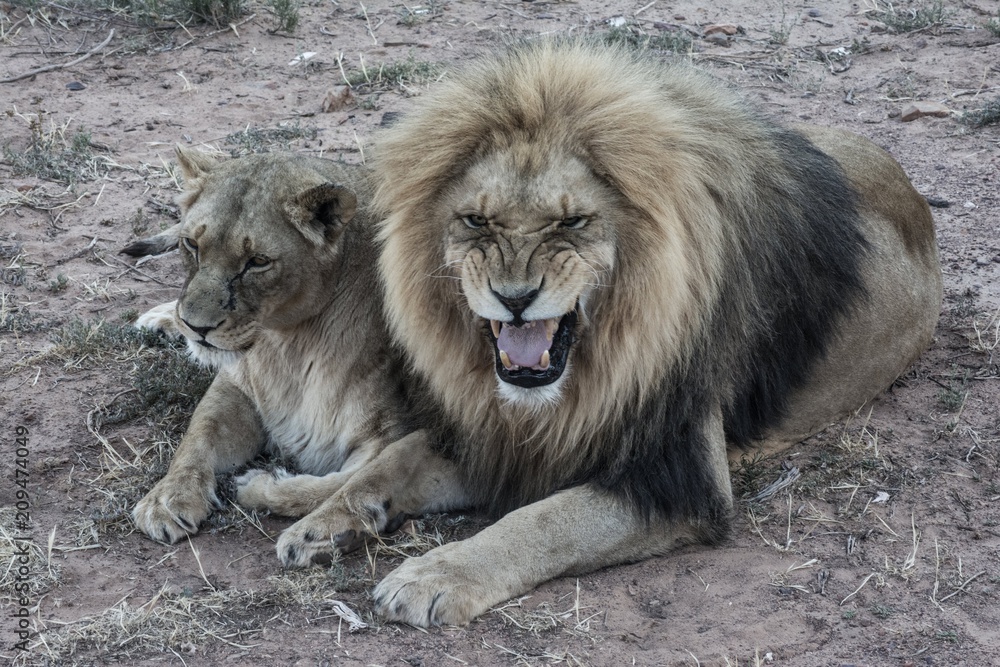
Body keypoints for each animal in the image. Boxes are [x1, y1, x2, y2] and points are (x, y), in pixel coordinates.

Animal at [127, 148, 430, 566]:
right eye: (192, 244)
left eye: (257, 261)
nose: (197, 326)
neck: (290, 345)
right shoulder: (238, 385)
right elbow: (197, 435)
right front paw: (168, 498)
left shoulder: (391, 432)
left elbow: (345, 484)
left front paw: (264, 484)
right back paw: (159, 319)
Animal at [284, 40, 942, 627]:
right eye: (476, 220)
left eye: (572, 222)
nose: (514, 299)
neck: (577, 381)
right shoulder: (500, 439)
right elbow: (394, 460)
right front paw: (323, 524)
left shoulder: (679, 481)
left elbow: (541, 521)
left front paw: (432, 576)